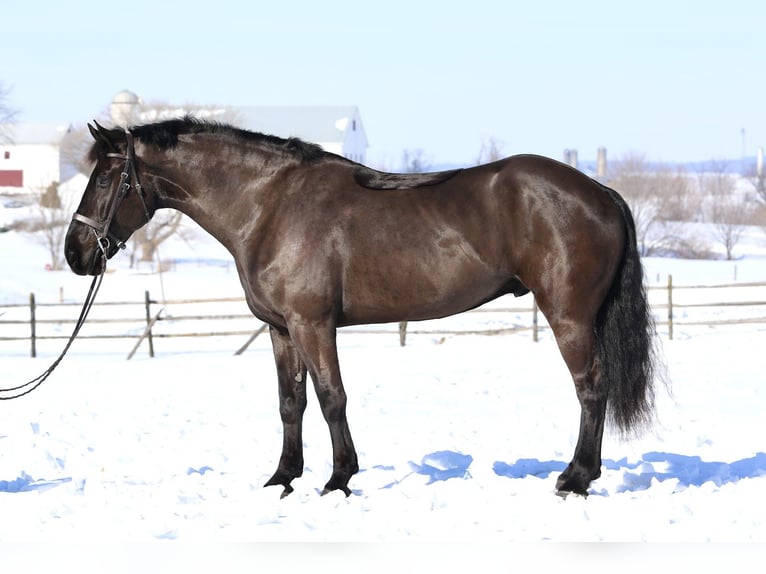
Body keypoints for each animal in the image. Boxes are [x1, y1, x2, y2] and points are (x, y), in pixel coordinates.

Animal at [65, 117, 658, 498]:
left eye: (108, 176)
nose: (75, 253)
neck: (268, 205)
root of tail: (601, 192)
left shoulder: (313, 324)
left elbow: (332, 399)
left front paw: (339, 479)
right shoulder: (281, 330)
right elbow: (291, 404)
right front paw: (283, 478)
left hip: (569, 318)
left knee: (591, 388)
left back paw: (575, 479)